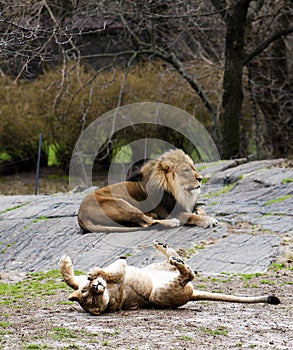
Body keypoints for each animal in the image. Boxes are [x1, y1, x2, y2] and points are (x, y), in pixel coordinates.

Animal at [58, 241, 278, 314]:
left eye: (87, 292)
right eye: (92, 300)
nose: (96, 287)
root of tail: (192, 295)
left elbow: (70, 278)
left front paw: (65, 260)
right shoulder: (120, 277)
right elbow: (115, 269)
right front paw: (96, 272)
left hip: (154, 267)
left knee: (176, 260)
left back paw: (162, 246)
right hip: (157, 295)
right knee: (189, 273)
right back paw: (176, 261)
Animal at [77, 148, 217, 232]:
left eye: (193, 168)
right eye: (186, 170)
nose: (200, 179)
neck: (179, 192)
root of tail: (80, 215)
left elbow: (200, 210)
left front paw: (199, 212)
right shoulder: (170, 212)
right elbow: (191, 216)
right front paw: (208, 220)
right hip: (121, 204)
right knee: (146, 222)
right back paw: (171, 222)